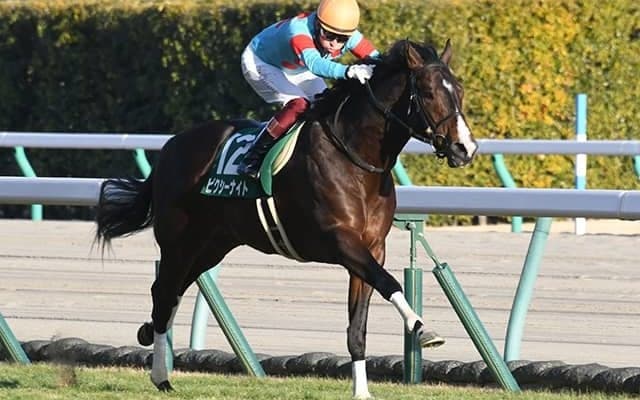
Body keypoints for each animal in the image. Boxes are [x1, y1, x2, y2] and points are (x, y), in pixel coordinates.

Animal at [95, 39, 477, 399]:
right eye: (428, 93)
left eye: (459, 90)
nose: (466, 148)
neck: (355, 158)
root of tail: (170, 148)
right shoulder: (339, 240)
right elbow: (389, 282)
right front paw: (423, 328)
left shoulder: (371, 248)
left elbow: (358, 325)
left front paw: (362, 390)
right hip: (179, 241)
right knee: (164, 292)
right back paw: (161, 375)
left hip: (212, 245)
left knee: (171, 292)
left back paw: (150, 339)